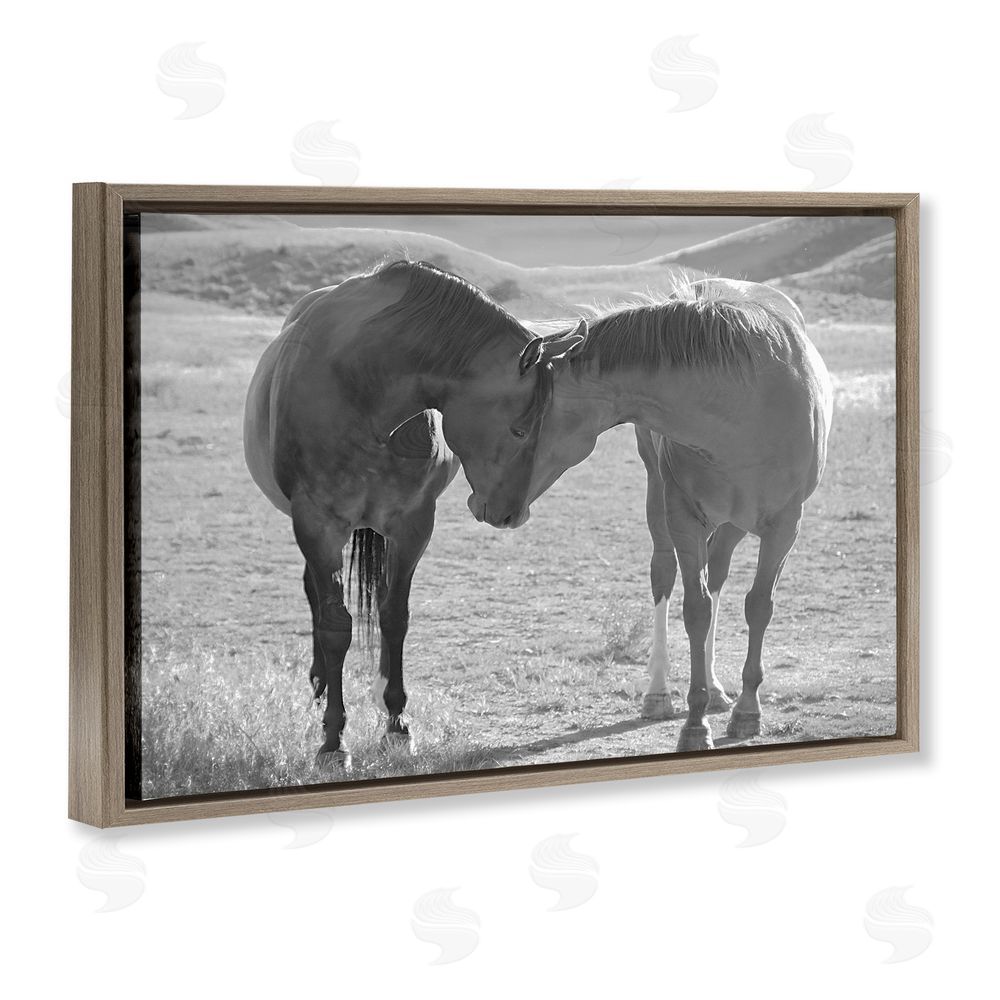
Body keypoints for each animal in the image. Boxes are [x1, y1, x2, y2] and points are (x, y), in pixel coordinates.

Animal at [243, 259, 587, 768]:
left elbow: (394, 616)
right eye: (520, 429)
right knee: (316, 598)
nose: (511, 515)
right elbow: (335, 625)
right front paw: (333, 739)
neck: (363, 388)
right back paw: (321, 685)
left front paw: (396, 722)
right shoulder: (316, 524)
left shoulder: (412, 524)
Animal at [477, 278, 833, 752]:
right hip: (660, 499)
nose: (486, 506)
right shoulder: (682, 517)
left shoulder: (785, 526)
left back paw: (717, 689)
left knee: (718, 574)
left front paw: (746, 711)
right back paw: (660, 693)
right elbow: (695, 610)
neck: (744, 406)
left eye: (518, 428)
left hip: (734, 523)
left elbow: (758, 606)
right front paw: (695, 724)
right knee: (665, 575)